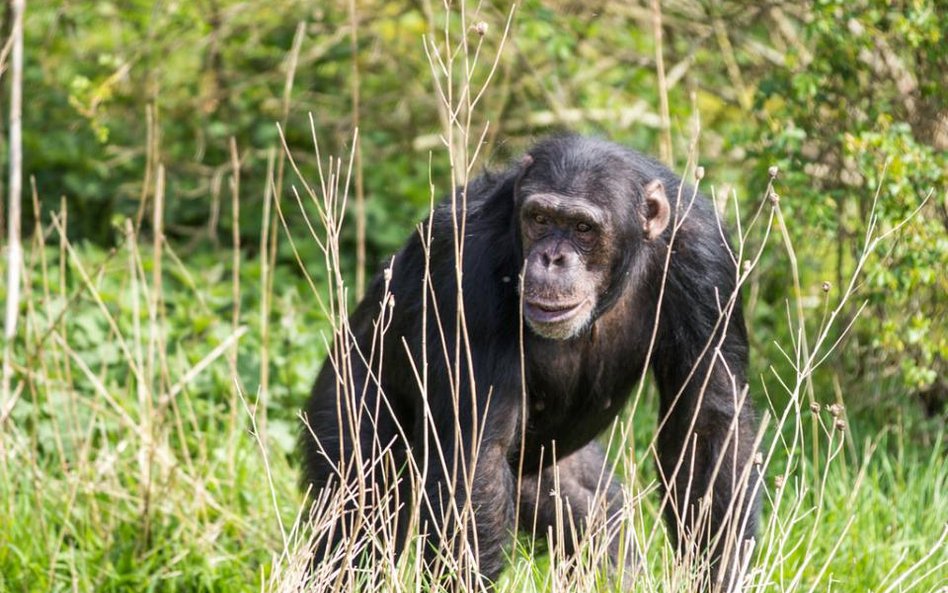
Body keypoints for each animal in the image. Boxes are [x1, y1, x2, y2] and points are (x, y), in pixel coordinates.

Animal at [300, 133, 760, 588]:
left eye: (583, 228)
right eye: (539, 218)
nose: (552, 258)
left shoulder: (706, 258)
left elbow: (707, 426)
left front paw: (722, 572)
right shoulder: (470, 267)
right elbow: (477, 455)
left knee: (595, 517)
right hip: (346, 397)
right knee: (360, 510)